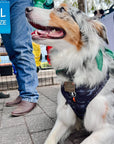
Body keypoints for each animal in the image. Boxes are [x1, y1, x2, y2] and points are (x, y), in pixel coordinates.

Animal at [25, 3, 114, 144]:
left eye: (62, 9)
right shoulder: (64, 118)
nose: (26, 9)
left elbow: (86, 141)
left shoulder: (108, 127)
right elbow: (50, 138)